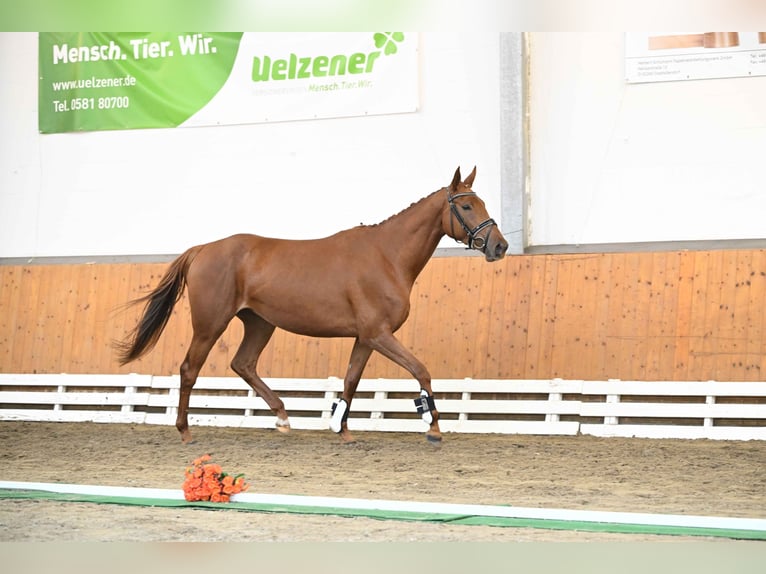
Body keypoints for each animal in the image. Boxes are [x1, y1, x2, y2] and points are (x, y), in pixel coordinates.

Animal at [115, 166, 510, 446]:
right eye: (465, 205)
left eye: (483, 204)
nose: (500, 246)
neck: (388, 256)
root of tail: (202, 249)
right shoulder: (379, 335)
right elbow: (421, 370)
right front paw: (433, 427)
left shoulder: (366, 338)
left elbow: (351, 380)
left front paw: (342, 428)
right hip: (211, 324)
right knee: (189, 370)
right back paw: (184, 430)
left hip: (260, 323)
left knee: (243, 364)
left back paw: (282, 417)